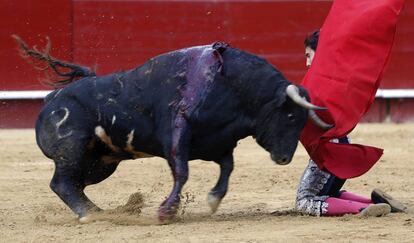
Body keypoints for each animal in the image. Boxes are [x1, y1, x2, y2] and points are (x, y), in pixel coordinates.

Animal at [23, 40, 326, 222]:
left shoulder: (219, 142)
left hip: (100, 163)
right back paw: (90, 214)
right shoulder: (178, 132)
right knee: (62, 183)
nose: (285, 157)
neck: (232, 86)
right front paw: (166, 212)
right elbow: (182, 171)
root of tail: (52, 100)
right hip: (72, 151)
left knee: (74, 184)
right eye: (290, 116)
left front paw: (213, 200)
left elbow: (227, 167)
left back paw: (99, 210)